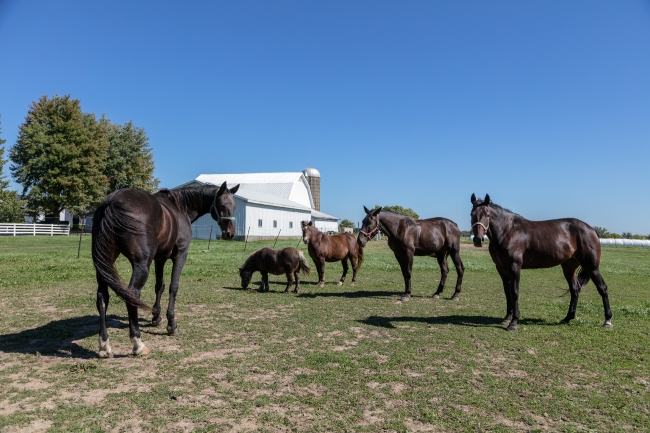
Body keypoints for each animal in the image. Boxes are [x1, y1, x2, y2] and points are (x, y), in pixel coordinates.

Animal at [92, 181, 239, 356]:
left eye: (235, 206)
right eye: (222, 204)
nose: (230, 233)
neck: (180, 208)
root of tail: (112, 202)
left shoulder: (160, 259)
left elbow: (159, 286)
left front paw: (156, 317)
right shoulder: (180, 255)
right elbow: (173, 288)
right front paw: (172, 324)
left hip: (104, 264)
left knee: (102, 296)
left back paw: (104, 345)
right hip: (141, 265)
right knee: (132, 294)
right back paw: (137, 343)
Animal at [468, 193, 612, 330]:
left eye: (487, 214)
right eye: (472, 214)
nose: (478, 239)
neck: (509, 231)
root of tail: (592, 229)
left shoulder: (515, 266)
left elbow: (515, 292)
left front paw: (514, 322)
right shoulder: (501, 268)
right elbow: (507, 292)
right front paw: (507, 318)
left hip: (591, 267)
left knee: (602, 288)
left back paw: (607, 320)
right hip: (569, 267)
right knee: (575, 290)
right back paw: (567, 318)